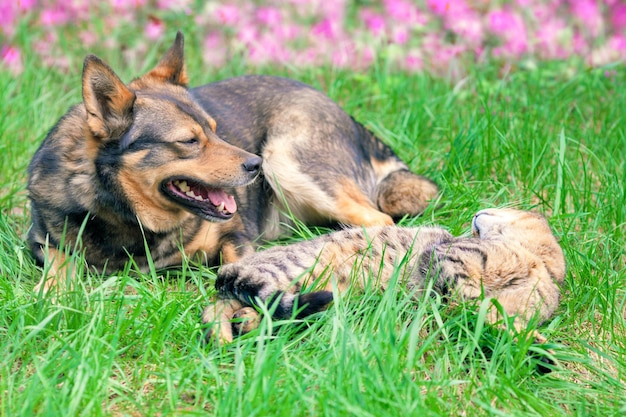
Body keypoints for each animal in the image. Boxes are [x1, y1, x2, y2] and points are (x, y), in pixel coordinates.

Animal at [26, 30, 436, 290]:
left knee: (379, 220)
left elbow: (234, 262)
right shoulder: (41, 242)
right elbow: (58, 269)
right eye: (189, 141)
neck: (133, 220)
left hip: (288, 162)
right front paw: (53, 297)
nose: (255, 166)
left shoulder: (236, 233)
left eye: (215, 129)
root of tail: (350, 118)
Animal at [202, 208, 564, 344]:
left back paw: (238, 327)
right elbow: (464, 295)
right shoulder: (444, 256)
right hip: (293, 271)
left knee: (229, 306)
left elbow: (493, 316)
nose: (477, 213)